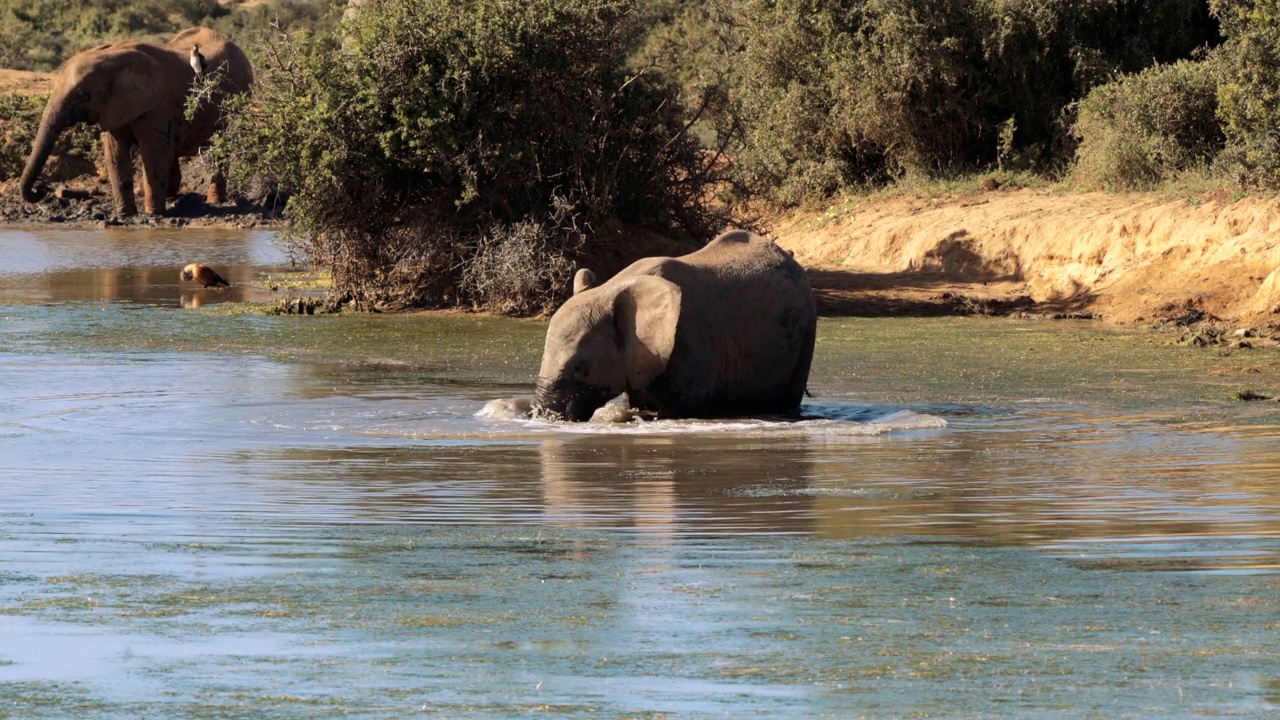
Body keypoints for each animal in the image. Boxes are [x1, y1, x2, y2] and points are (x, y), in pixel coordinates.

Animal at [17, 25, 250, 215]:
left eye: (82, 95)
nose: (41, 189)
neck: (111, 56)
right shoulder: (114, 105)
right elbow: (115, 153)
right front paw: (124, 216)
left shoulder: (158, 103)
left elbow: (153, 151)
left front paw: (153, 215)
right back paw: (172, 196)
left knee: (220, 146)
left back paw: (214, 201)